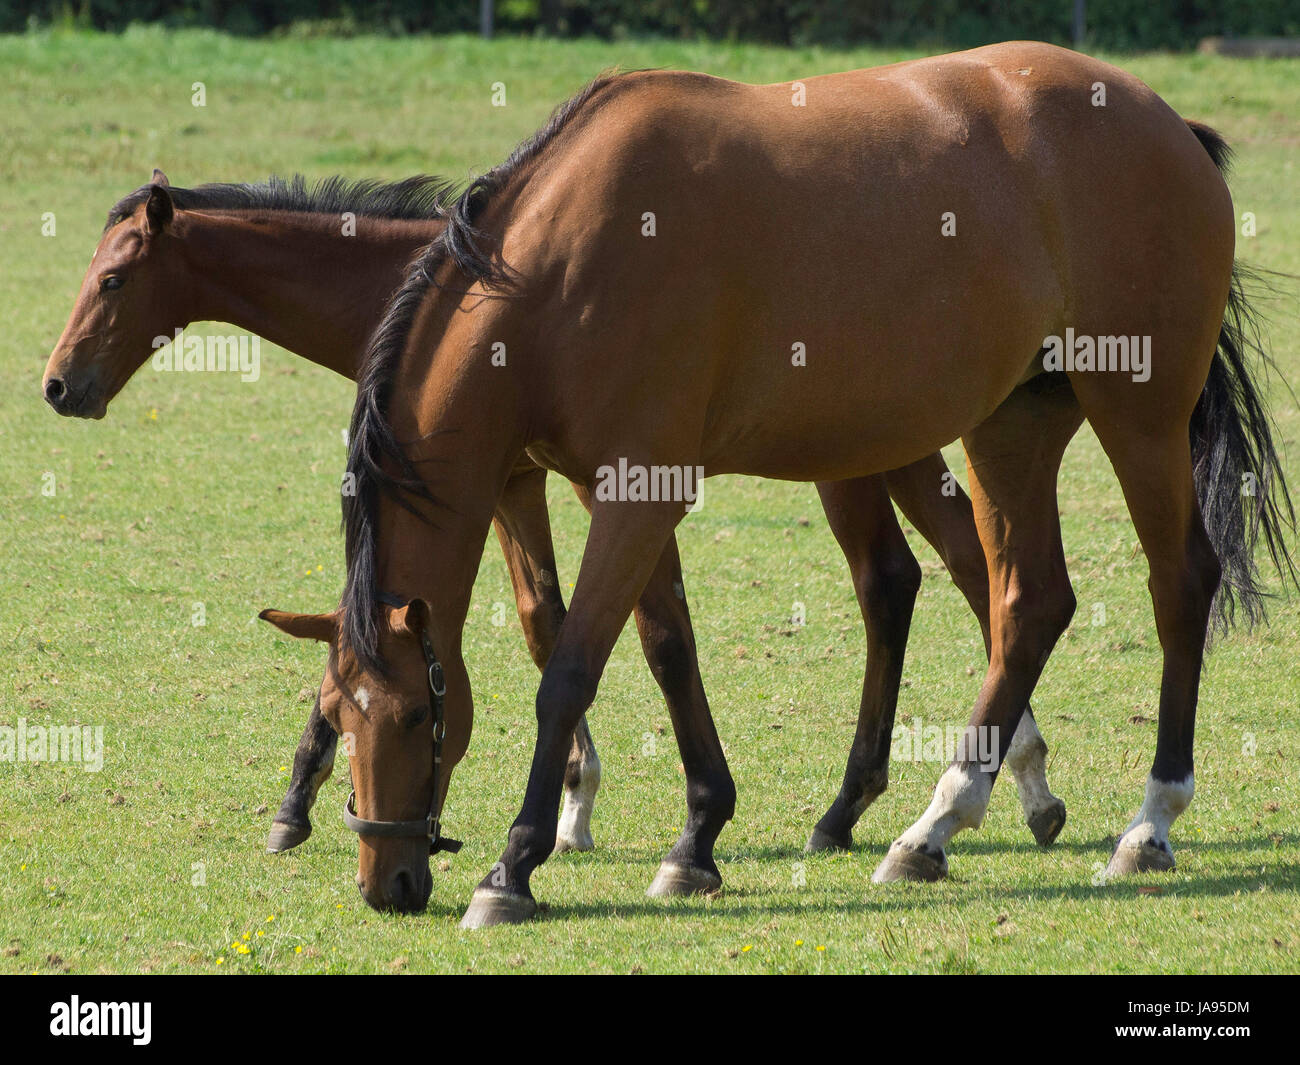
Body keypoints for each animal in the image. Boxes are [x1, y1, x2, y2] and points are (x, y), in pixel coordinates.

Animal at [41, 169, 1066, 890]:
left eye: (113, 279)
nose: (58, 385)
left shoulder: (569, 481)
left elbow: (616, 632)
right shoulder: (508, 484)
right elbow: (535, 619)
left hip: (863, 458)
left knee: (951, 572)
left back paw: (985, 786)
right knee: (925, 576)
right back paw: (922, 795)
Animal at [257, 41, 1293, 925]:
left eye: (415, 713)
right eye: (336, 716)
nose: (386, 880)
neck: (569, 263)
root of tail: (1167, 124)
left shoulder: (638, 491)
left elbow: (571, 670)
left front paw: (513, 867)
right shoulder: (618, 490)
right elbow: (667, 647)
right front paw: (694, 842)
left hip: (1138, 418)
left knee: (1177, 585)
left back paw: (1148, 823)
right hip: (1011, 426)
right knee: (1027, 603)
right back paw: (933, 826)